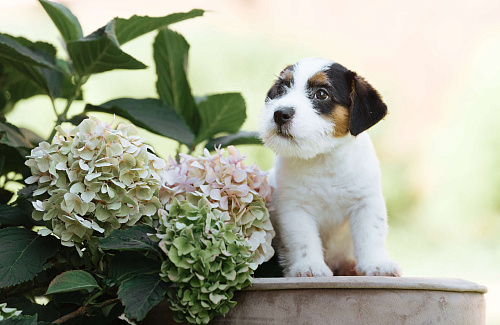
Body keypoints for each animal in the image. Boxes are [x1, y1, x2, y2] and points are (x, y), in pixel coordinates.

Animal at [260, 57, 400, 276]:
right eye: (281, 89)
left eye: (321, 94)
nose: (280, 113)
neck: (323, 158)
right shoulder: (295, 209)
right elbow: (304, 240)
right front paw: (309, 266)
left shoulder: (366, 203)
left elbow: (371, 235)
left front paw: (376, 264)